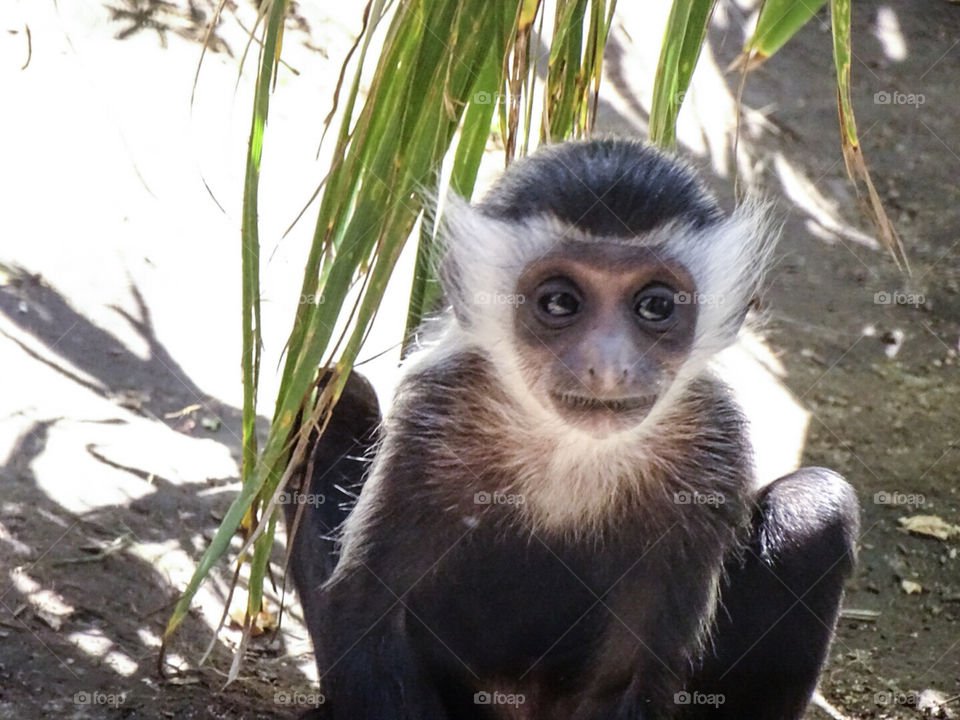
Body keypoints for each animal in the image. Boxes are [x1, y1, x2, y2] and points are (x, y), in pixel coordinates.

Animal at [282, 138, 859, 720]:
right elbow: (369, 613)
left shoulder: (712, 448)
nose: (607, 367)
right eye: (560, 302)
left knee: (815, 509)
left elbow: (633, 672)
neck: (571, 448)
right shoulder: (433, 420)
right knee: (334, 401)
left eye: (655, 305)